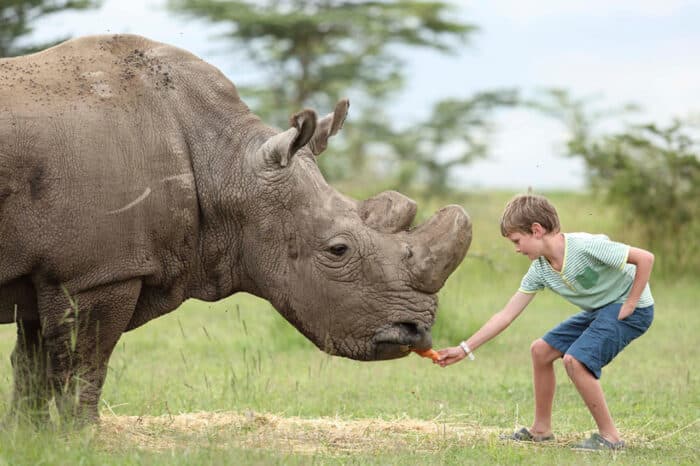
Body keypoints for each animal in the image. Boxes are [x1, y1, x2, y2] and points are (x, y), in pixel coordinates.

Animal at [0, 34, 474, 424]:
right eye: (338, 250)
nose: (415, 332)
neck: (225, 162)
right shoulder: (96, 272)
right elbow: (84, 365)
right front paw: (81, 438)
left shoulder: (51, 272)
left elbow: (33, 368)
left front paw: (31, 438)